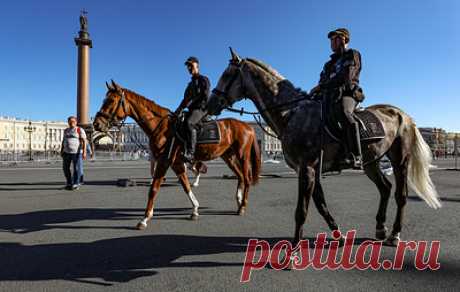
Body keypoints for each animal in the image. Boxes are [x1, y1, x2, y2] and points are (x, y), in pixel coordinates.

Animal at [93, 81, 260, 229]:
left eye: (110, 100)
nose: (96, 124)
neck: (161, 127)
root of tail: (247, 126)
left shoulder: (164, 161)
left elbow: (154, 189)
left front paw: (145, 218)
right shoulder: (177, 163)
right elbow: (185, 186)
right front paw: (195, 210)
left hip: (242, 156)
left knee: (246, 178)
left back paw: (242, 206)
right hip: (228, 157)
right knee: (240, 176)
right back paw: (239, 201)